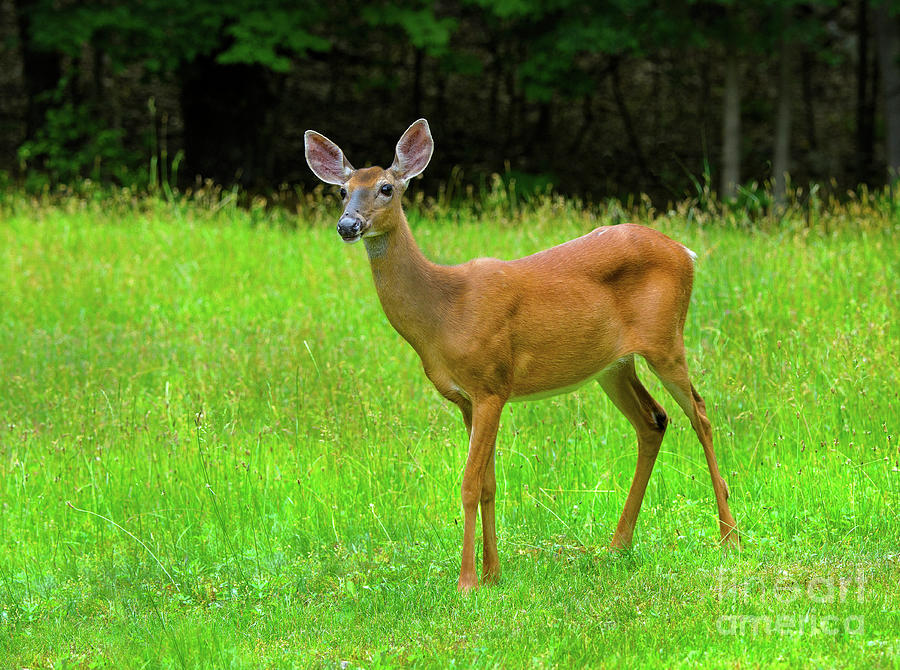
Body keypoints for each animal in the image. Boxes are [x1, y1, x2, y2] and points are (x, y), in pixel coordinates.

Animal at [302, 121, 740, 592]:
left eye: (385, 188)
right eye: (342, 191)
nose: (348, 225)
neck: (443, 310)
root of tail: (686, 252)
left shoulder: (491, 382)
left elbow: (470, 483)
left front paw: (467, 581)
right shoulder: (467, 398)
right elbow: (489, 483)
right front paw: (493, 574)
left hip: (666, 338)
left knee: (701, 413)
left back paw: (728, 535)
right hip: (613, 365)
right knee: (654, 420)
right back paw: (618, 543)